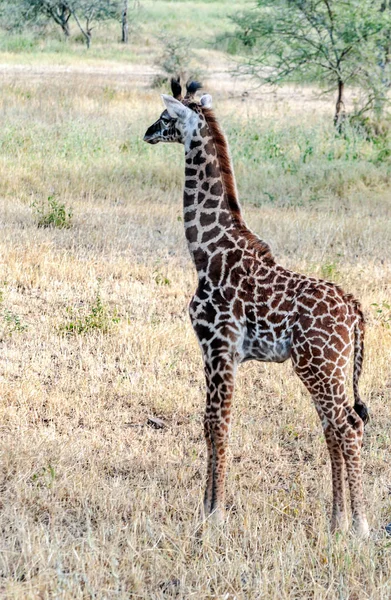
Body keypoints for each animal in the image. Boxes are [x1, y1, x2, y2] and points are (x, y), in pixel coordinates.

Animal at [143, 81, 370, 540]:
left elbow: (216, 424)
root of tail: (354, 310)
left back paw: (360, 526)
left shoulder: (218, 346)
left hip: (320, 368)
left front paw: (213, 513)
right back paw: (336, 521)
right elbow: (211, 424)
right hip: (328, 370)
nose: (147, 133)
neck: (206, 251)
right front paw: (208, 508)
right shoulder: (222, 353)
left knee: (349, 426)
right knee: (334, 429)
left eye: (166, 117)